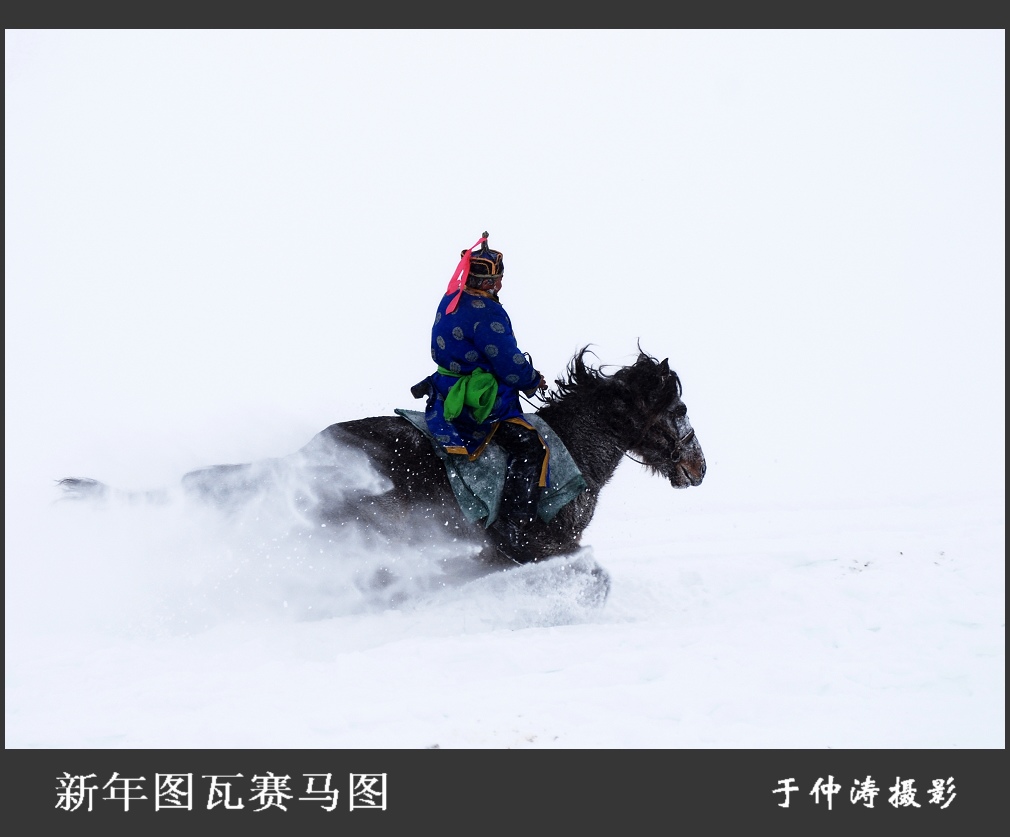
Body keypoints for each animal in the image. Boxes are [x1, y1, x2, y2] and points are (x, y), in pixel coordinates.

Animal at [55, 349, 702, 605]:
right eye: (678, 410)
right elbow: (592, 574)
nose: (698, 467)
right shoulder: (537, 542)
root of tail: (308, 456)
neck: (573, 448)